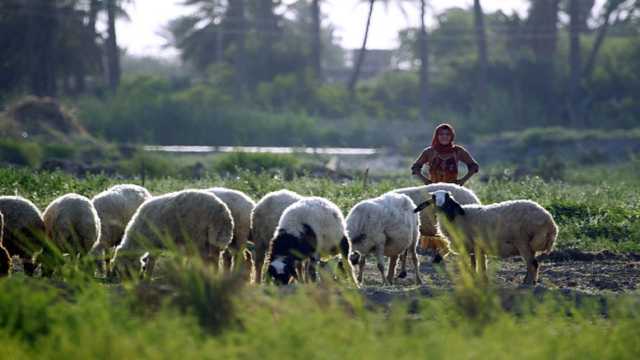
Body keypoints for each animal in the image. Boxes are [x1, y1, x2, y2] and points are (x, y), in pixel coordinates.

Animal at [412, 190, 556, 286]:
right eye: (434, 197)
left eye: (447, 198)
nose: (441, 207)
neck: (454, 217)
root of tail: (549, 221)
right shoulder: (476, 248)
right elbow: (476, 266)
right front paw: (478, 281)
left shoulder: (473, 247)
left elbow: (476, 267)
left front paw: (478, 281)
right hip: (529, 244)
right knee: (532, 264)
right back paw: (529, 281)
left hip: (523, 241)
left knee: (533, 264)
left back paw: (528, 284)